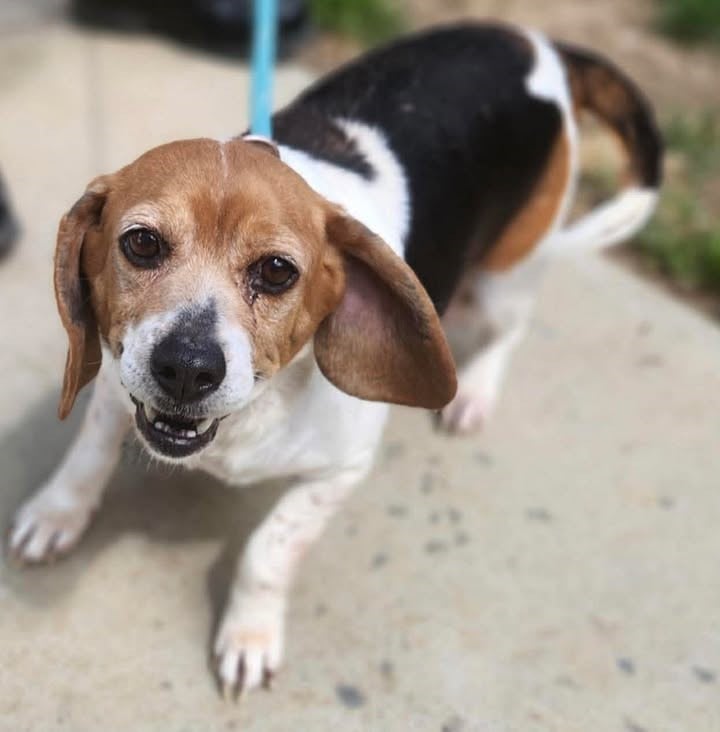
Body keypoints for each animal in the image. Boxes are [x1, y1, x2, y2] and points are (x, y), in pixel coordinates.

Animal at [8, 23, 662, 697]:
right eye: (141, 243)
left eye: (276, 271)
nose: (188, 367)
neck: (252, 412)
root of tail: (533, 40)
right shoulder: (118, 387)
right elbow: (89, 454)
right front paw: (58, 512)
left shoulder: (340, 472)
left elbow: (268, 551)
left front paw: (250, 634)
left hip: (507, 275)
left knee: (511, 330)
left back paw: (476, 392)